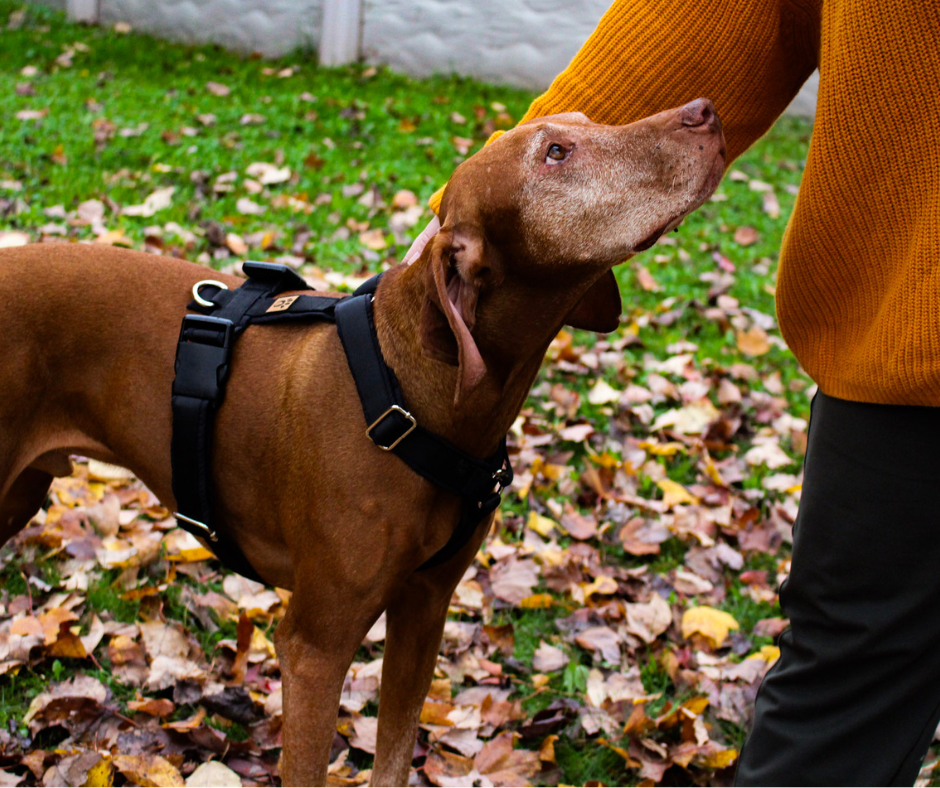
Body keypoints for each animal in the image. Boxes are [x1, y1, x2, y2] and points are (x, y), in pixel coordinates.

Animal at [0, 98, 724, 780]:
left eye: (584, 121)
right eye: (556, 153)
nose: (706, 112)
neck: (416, 397)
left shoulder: (423, 616)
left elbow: (394, 759)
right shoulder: (314, 648)